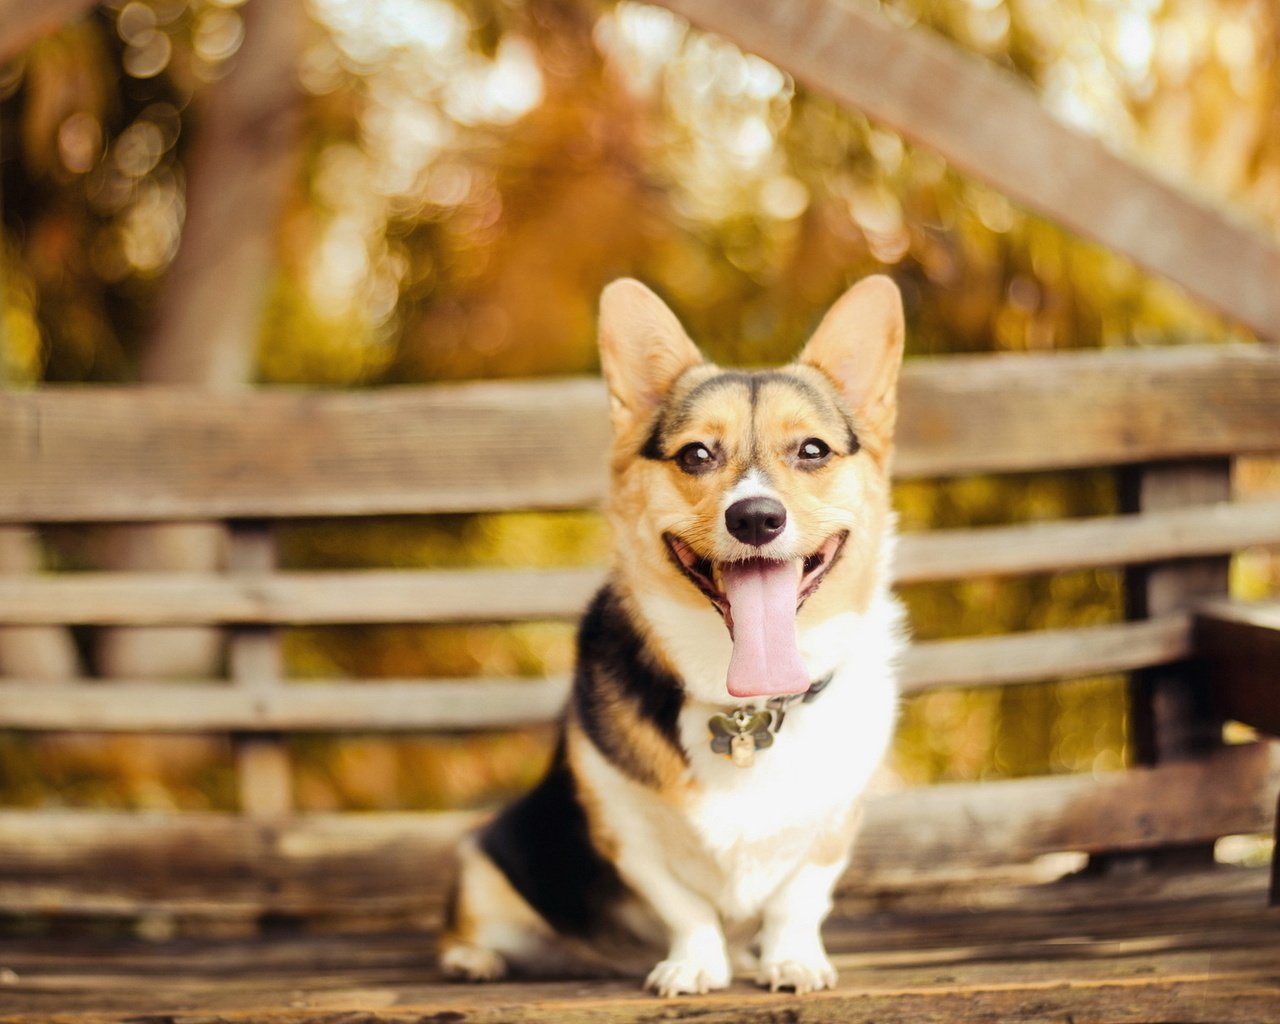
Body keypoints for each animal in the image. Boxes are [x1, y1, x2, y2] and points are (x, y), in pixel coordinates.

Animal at [442, 276, 911, 998]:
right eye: (696, 454)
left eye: (812, 450)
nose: (756, 517)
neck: (747, 709)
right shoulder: (624, 827)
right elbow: (684, 905)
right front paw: (693, 964)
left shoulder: (834, 826)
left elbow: (799, 898)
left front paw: (791, 959)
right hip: (484, 861)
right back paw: (474, 960)